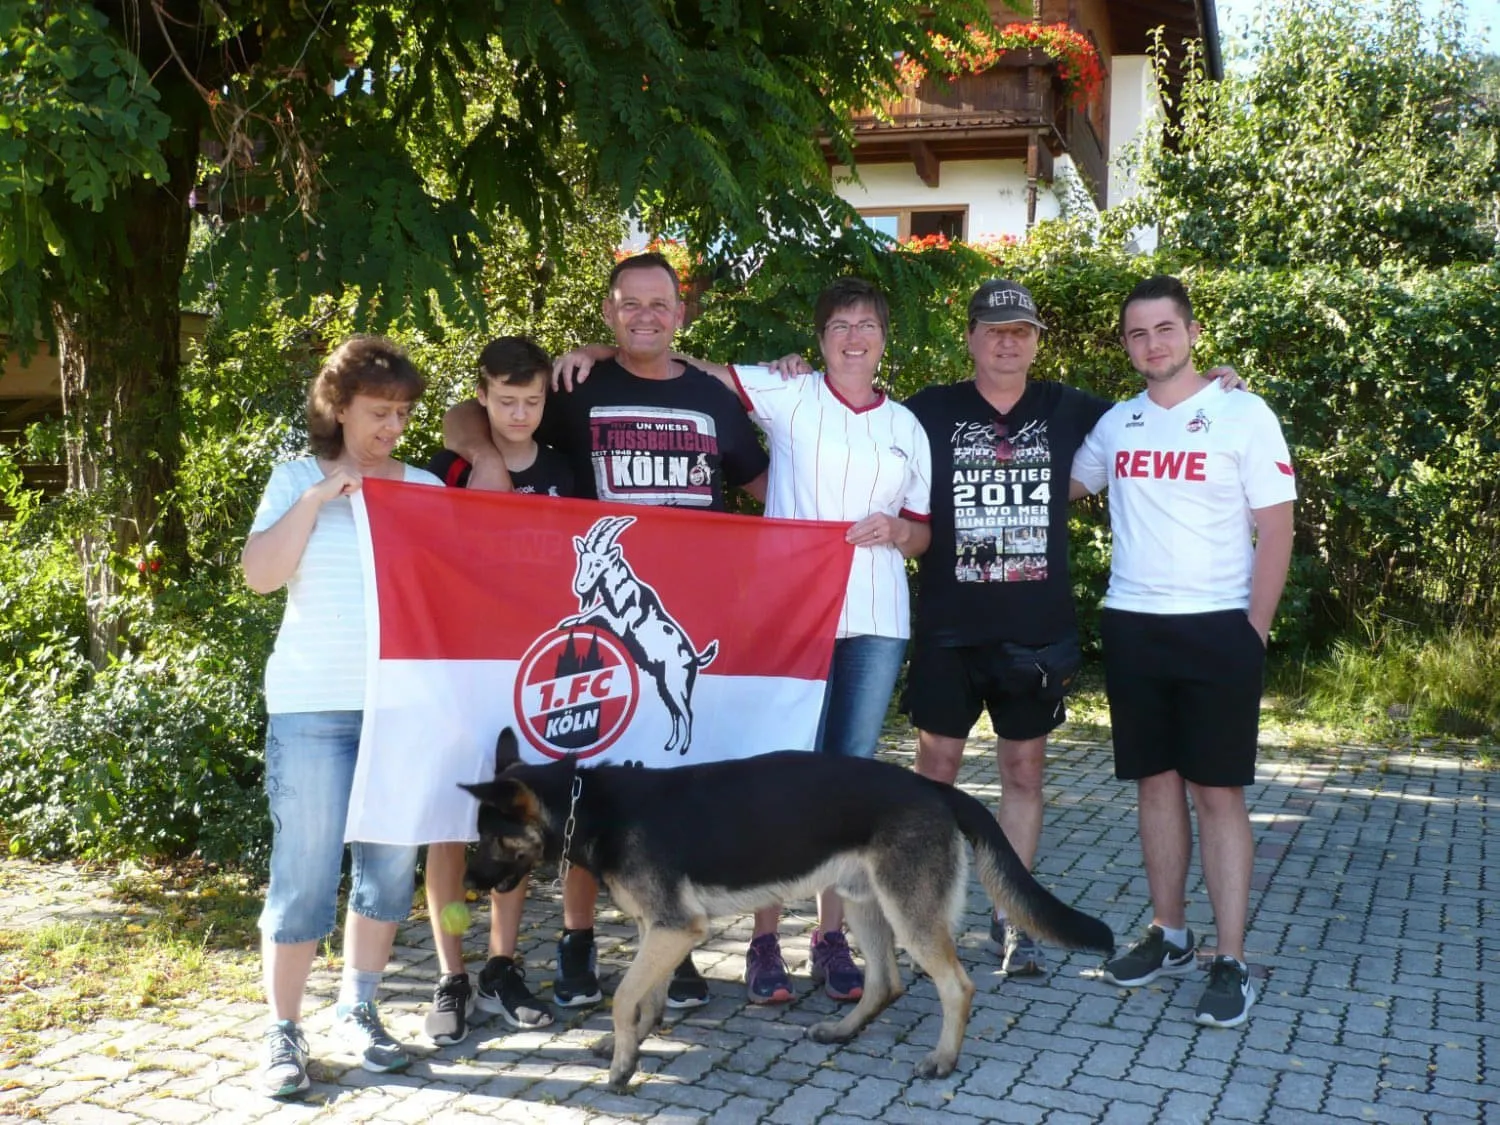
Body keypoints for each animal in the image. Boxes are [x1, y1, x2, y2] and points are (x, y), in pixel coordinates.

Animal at [461, 730, 1114, 1089]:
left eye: (490, 838)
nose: (467, 883)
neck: (590, 805)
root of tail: (934, 787)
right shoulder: (659, 929)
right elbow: (644, 1000)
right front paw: (633, 1044)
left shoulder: (674, 928)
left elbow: (623, 998)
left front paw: (623, 1068)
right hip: (864, 905)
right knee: (886, 982)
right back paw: (844, 1031)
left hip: (907, 914)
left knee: (956, 986)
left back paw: (943, 1060)